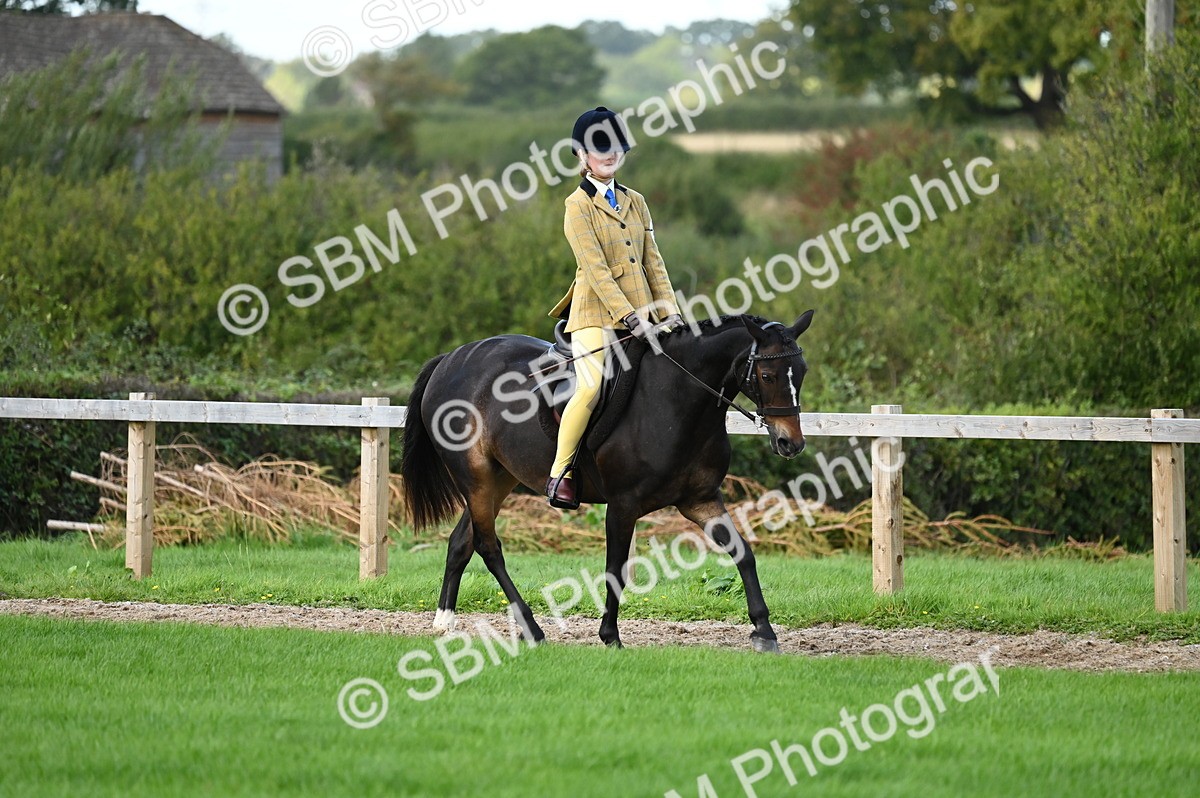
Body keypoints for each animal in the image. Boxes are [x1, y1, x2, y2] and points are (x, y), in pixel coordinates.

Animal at [400, 310, 815, 652]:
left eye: (802, 371)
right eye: (767, 375)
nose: (790, 443)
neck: (677, 400)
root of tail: (451, 359)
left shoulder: (700, 500)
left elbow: (743, 553)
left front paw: (764, 631)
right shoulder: (622, 505)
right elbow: (615, 569)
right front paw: (610, 635)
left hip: (497, 479)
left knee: (462, 541)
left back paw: (445, 620)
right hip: (476, 479)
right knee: (488, 547)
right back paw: (532, 629)